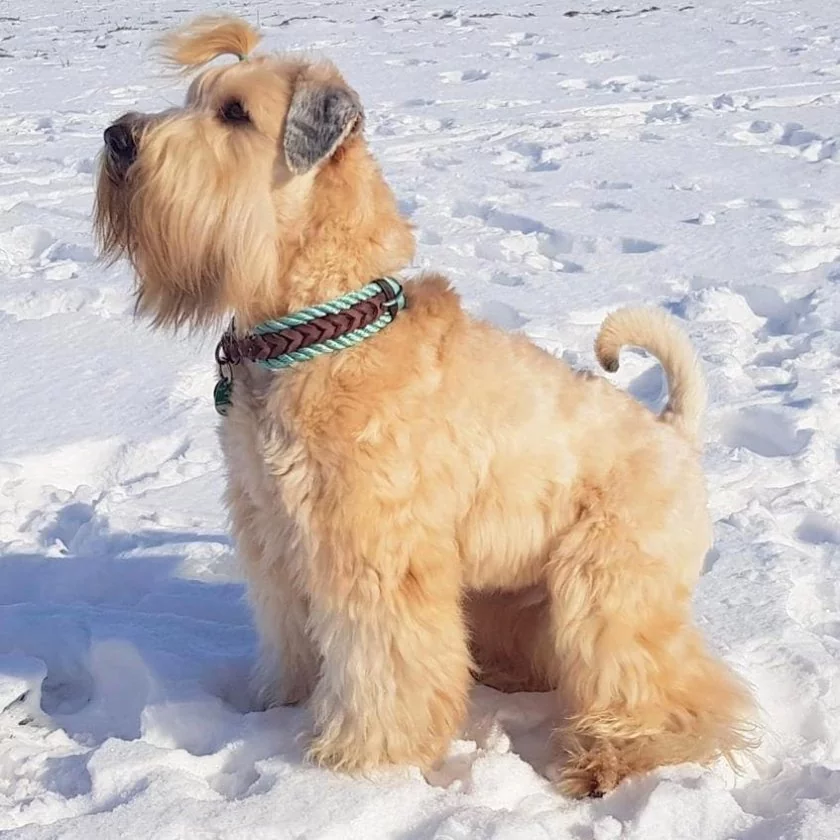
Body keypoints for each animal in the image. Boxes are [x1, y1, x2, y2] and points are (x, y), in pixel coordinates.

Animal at [95, 16, 756, 796]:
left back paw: (613, 756)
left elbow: (382, 664)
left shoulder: (373, 549)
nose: (118, 136)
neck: (316, 332)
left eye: (233, 113)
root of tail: (673, 432)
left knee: (674, 685)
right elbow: (291, 633)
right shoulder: (275, 534)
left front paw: (360, 756)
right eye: (193, 97)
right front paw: (280, 704)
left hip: (609, 589)